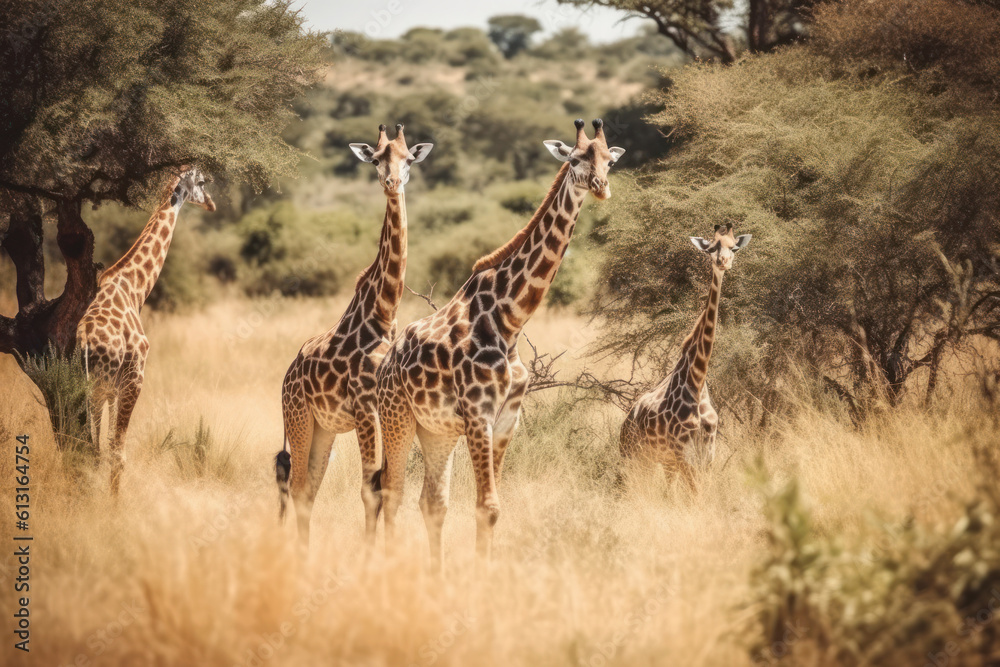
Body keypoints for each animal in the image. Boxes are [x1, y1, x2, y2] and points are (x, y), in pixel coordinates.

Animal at [78, 167, 215, 493]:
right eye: (203, 182)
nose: (212, 205)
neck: (135, 285)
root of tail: (86, 341)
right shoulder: (133, 379)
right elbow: (117, 449)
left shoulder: (115, 389)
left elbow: (107, 445)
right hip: (104, 384)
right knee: (107, 450)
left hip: (89, 384)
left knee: (90, 447)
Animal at [274, 124, 432, 546]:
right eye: (376, 160)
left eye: (409, 159)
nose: (392, 183)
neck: (384, 312)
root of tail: (286, 376)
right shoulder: (365, 408)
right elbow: (370, 489)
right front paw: (370, 553)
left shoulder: (382, 409)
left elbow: (383, 485)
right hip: (298, 418)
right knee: (296, 484)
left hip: (323, 431)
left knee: (308, 490)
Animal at [374, 119, 625, 568]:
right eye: (575, 159)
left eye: (609, 160)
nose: (600, 186)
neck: (510, 320)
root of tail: (386, 363)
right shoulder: (479, 415)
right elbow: (486, 505)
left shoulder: (507, 419)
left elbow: (490, 507)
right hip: (396, 417)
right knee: (392, 491)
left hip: (436, 431)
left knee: (431, 501)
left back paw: (435, 574)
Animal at [619, 223, 751, 490]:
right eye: (711, 248)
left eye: (734, 247)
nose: (723, 262)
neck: (697, 381)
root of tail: (627, 418)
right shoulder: (683, 455)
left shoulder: (707, 454)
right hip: (633, 454)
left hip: (658, 460)